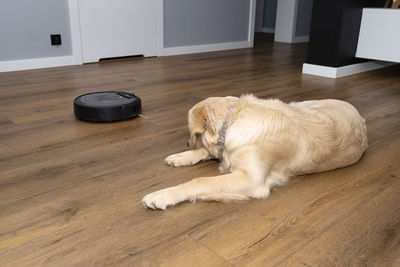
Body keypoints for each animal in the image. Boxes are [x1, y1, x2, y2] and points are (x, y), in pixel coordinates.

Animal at [142, 95, 368, 210]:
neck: (235, 118)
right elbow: (207, 152)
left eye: (192, 132)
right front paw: (181, 156)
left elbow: (200, 181)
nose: (187, 143)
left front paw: (162, 195)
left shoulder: (252, 179)